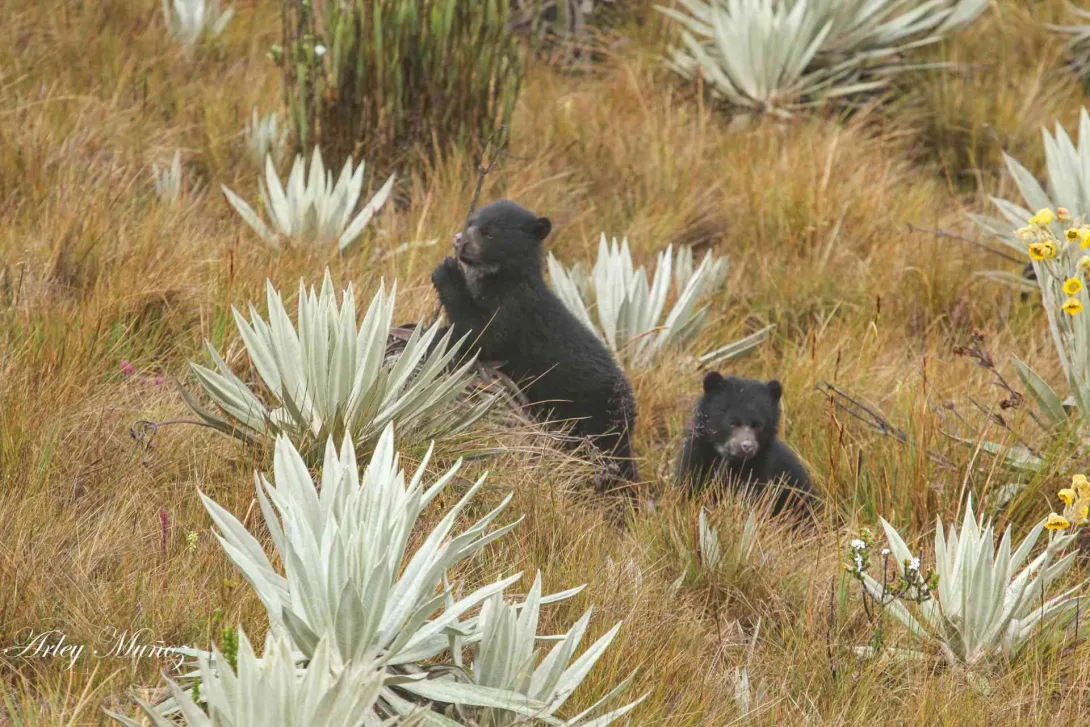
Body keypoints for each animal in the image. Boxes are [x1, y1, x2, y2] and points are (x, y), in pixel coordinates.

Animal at [430, 200, 640, 499]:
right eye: (470, 222)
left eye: (488, 232)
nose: (460, 242)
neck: (501, 279)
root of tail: (629, 411)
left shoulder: (515, 309)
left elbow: (484, 336)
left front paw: (447, 273)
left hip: (595, 419)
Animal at [676, 372, 813, 517]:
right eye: (731, 422)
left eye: (758, 425)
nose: (747, 446)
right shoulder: (695, 458)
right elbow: (689, 486)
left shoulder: (761, 469)